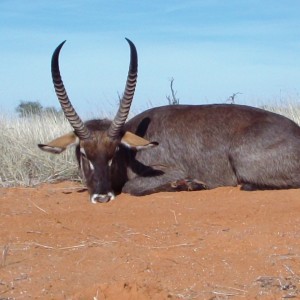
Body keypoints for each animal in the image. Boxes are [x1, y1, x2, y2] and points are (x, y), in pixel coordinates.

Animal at [38, 37, 300, 202]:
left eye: (114, 151)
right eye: (83, 153)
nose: (102, 196)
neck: (129, 155)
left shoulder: (171, 171)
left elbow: (131, 187)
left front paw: (187, 184)